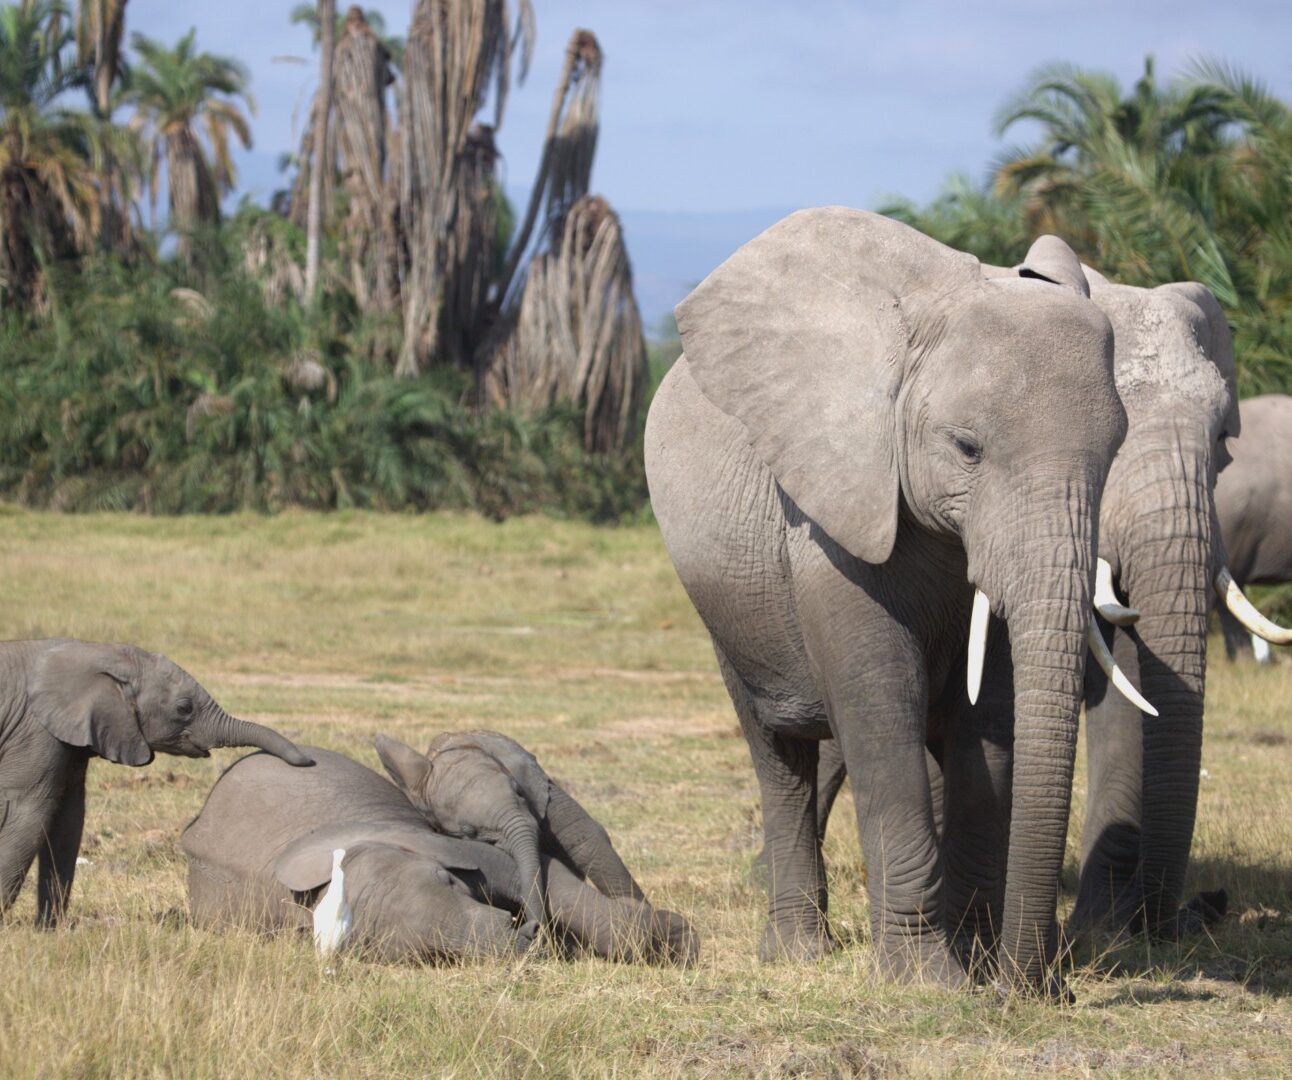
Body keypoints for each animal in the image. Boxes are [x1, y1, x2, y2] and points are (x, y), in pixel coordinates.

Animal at [0, 638, 313, 926]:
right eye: (184, 708)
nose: (308, 760)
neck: (95, 651)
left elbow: (69, 819)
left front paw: (52, 930)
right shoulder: (35, 733)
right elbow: (29, 815)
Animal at [645, 207, 1132, 992]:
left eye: (1115, 451)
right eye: (966, 448)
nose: (1035, 985)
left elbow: (989, 720)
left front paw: (974, 966)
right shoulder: (833, 507)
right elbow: (879, 703)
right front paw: (926, 980)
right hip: (727, 607)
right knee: (778, 754)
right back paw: (797, 952)